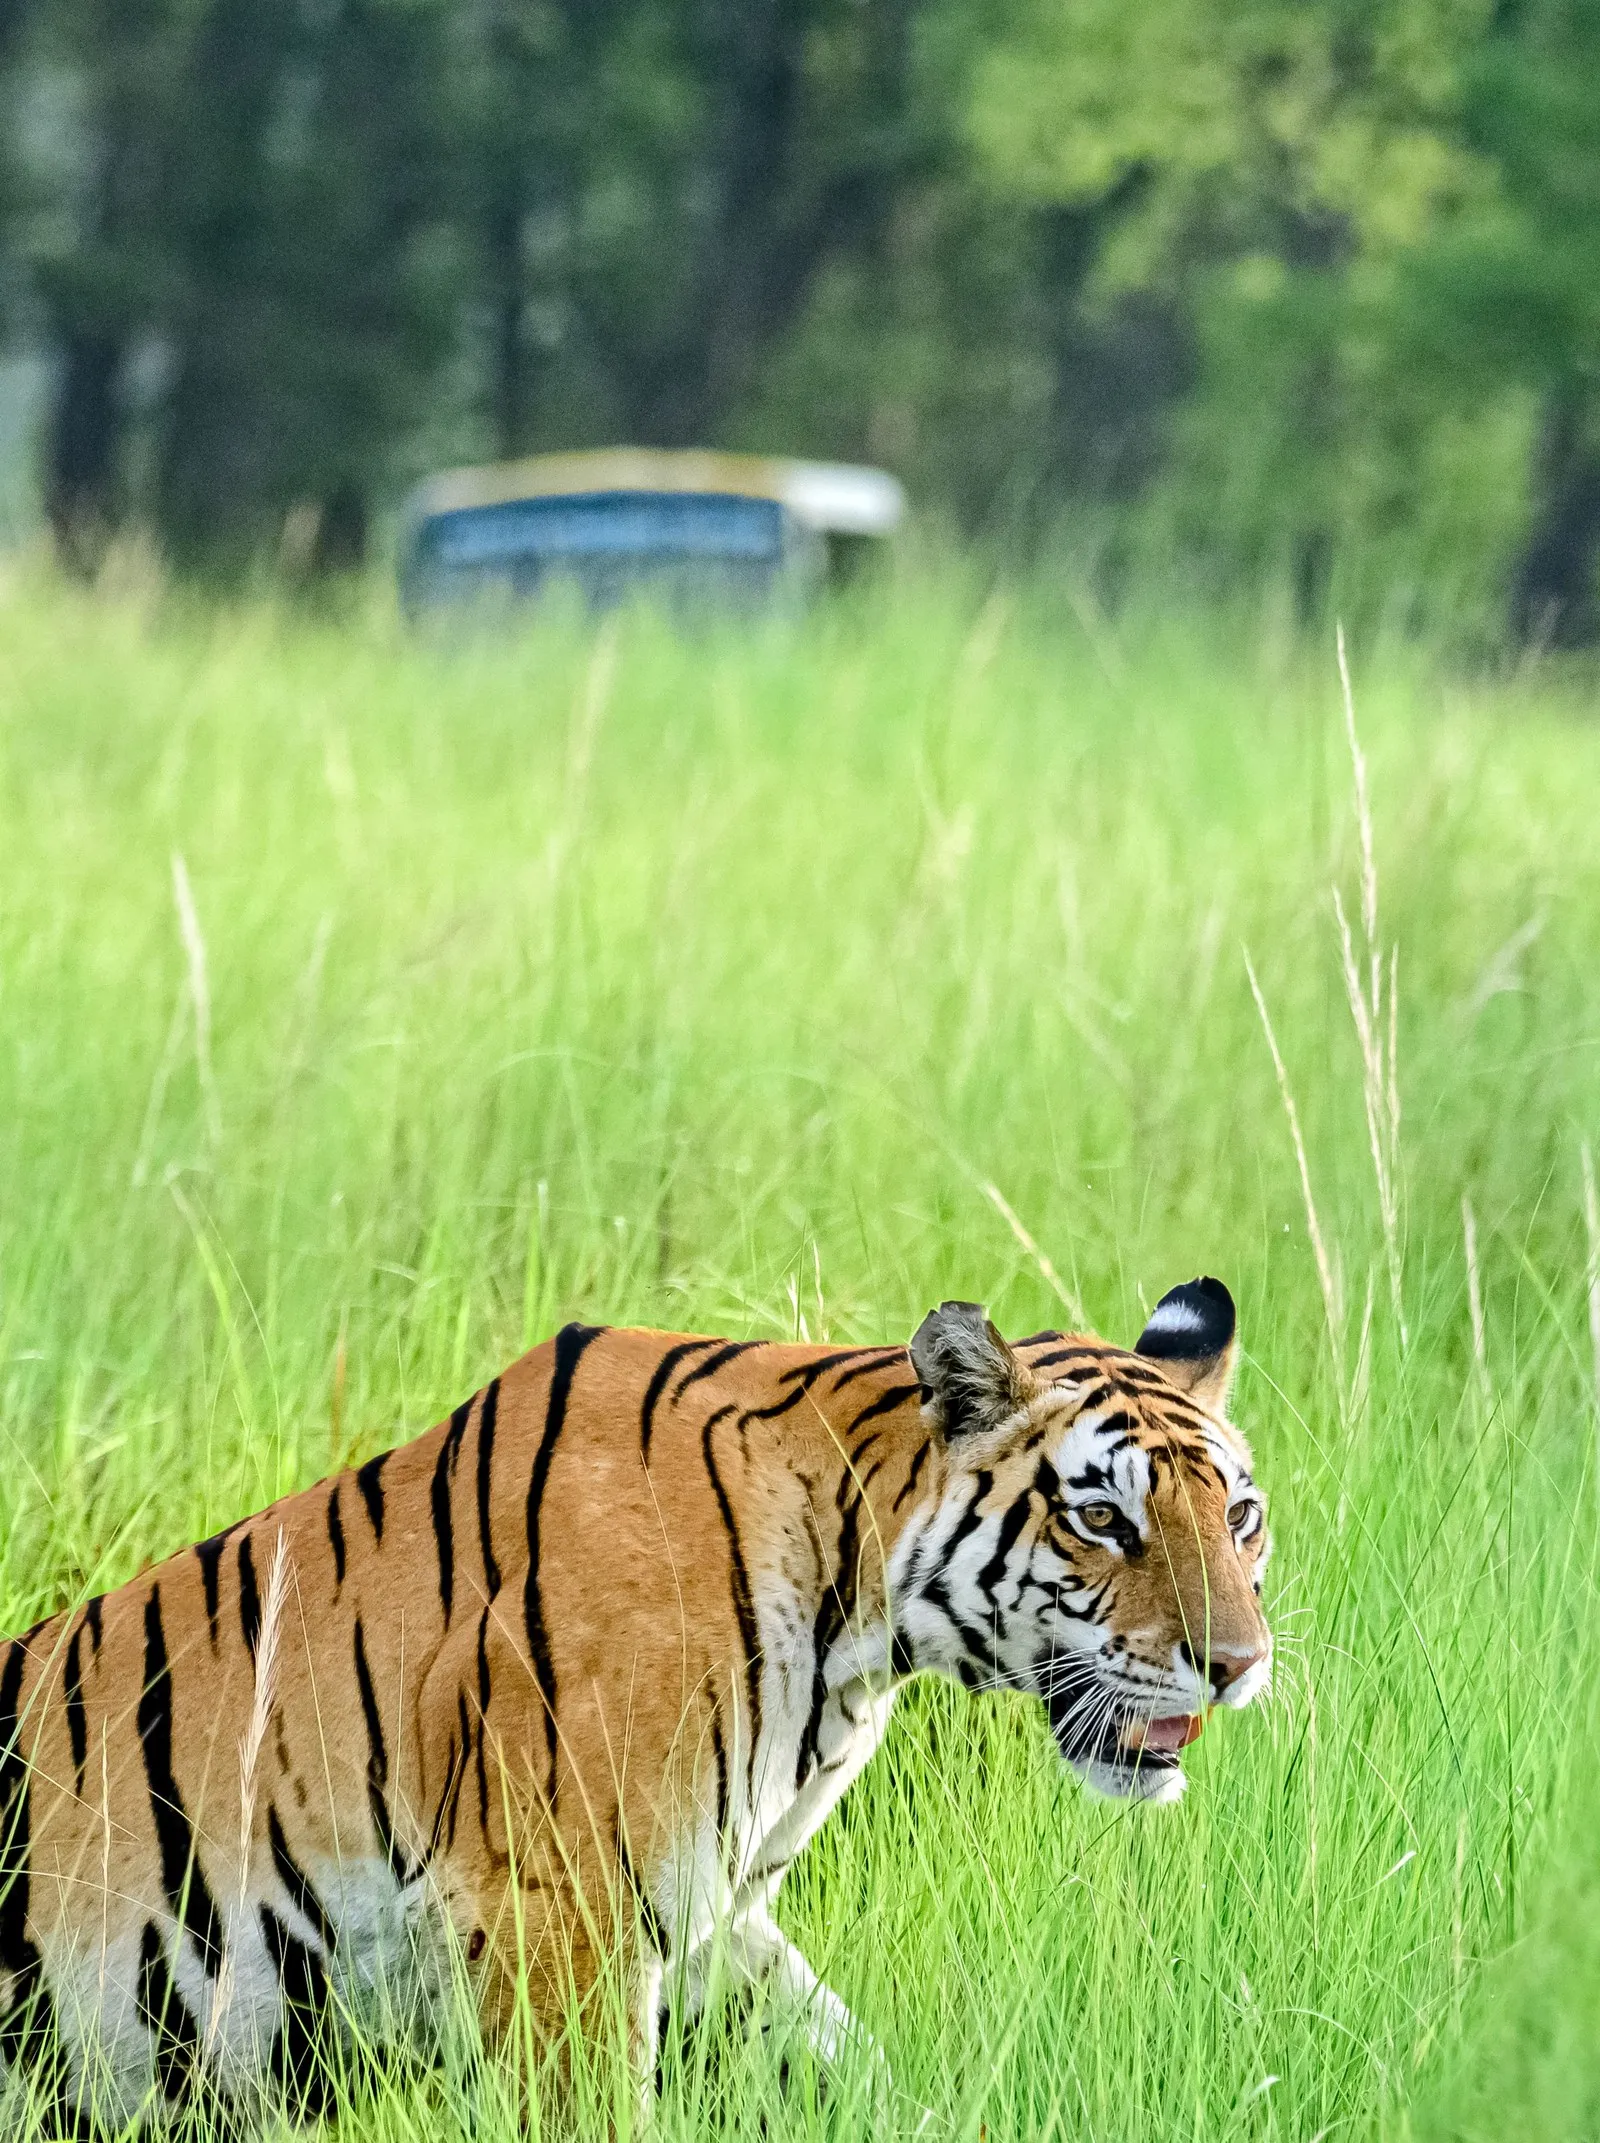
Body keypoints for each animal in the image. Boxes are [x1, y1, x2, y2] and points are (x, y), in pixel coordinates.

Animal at [0, 1275, 1271, 2133]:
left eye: (1239, 1517)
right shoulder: (562, 1910)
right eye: (1100, 1518)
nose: (1241, 1663)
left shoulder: (714, 1915)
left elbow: (851, 2066)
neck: (856, 1627)